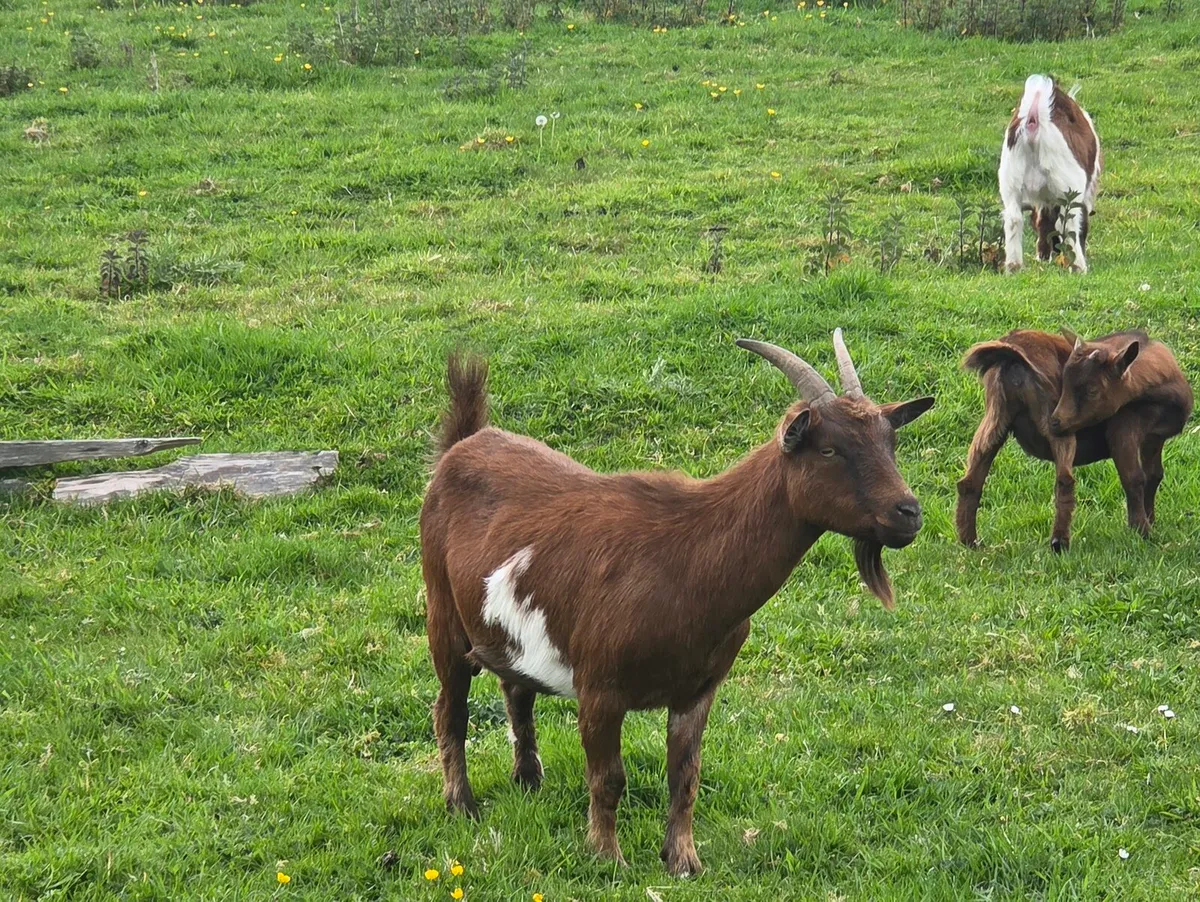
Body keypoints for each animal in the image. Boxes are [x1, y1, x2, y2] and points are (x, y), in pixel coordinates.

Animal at [420, 333, 934, 876]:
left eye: (890, 444)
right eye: (831, 449)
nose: (909, 513)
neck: (686, 559)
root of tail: (461, 445)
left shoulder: (698, 689)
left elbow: (684, 777)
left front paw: (683, 860)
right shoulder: (599, 689)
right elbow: (608, 778)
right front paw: (608, 858)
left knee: (517, 690)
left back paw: (528, 779)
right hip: (442, 615)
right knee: (449, 709)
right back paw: (462, 803)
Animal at [956, 328, 1192, 552]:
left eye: (1091, 390)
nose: (1055, 422)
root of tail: (1012, 357)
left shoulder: (1154, 438)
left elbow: (1154, 475)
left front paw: (1150, 522)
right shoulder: (1124, 425)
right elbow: (1134, 477)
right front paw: (1142, 532)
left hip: (997, 416)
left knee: (970, 480)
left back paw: (970, 542)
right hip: (1055, 423)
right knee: (1065, 479)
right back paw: (1059, 542)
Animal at [1000, 74, 1101, 273]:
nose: (1055, 250)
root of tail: (1033, 120)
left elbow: (1043, 222)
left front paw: (1042, 256)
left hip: (1010, 181)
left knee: (1014, 219)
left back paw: (1014, 266)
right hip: (1070, 186)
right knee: (1067, 223)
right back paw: (1079, 266)